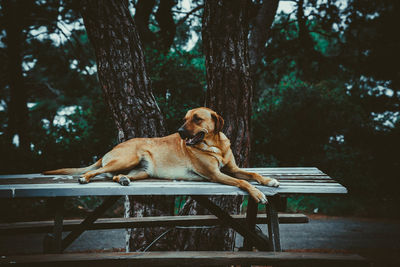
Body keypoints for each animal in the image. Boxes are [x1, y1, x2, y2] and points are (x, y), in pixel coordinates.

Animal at [43, 107, 280, 203]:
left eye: (197, 119)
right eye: (185, 119)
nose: (180, 131)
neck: (215, 145)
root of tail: (111, 149)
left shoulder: (233, 169)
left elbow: (252, 175)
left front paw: (269, 180)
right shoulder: (216, 175)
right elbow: (243, 182)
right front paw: (258, 193)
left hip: (143, 171)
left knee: (115, 175)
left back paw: (123, 180)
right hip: (126, 158)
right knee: (99, 171)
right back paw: (85, 177)